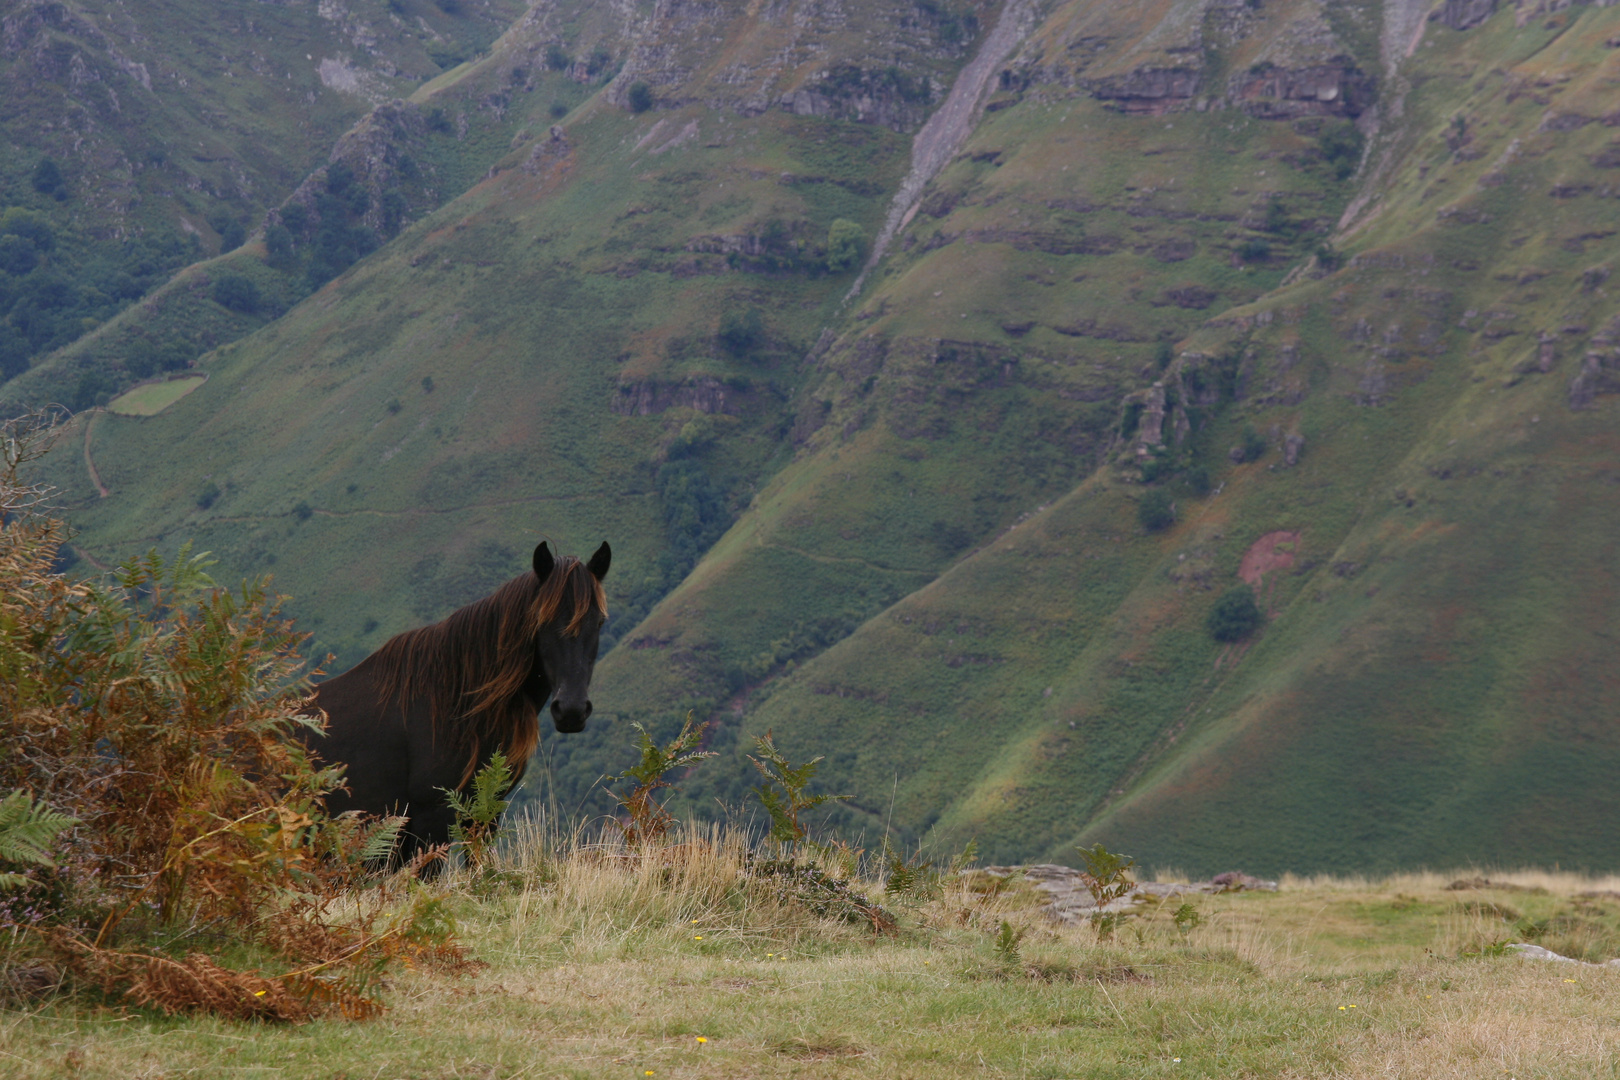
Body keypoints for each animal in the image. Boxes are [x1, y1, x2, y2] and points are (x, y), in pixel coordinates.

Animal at [302, 540, 609, 854]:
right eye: (541, 621)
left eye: (598, 622)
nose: (571, 710)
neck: (456, 705)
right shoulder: (431, 819)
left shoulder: (485, 813)